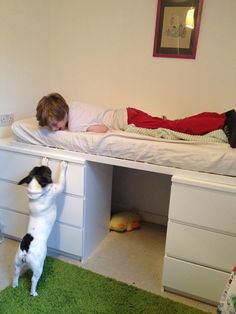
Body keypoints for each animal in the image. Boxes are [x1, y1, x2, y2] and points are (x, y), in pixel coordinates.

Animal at [12, 158, 67, 296]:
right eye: (49, 172)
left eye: (37, 168)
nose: (44, 166)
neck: (36, 191)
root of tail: (25, 249)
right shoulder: (57, 187)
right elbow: (62, 179)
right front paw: (63, 165)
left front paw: (44, 160)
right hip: (38, 266)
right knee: (33, 279)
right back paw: (33, 293)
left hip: (17, 262)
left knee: (16, 273)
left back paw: (15, 285)